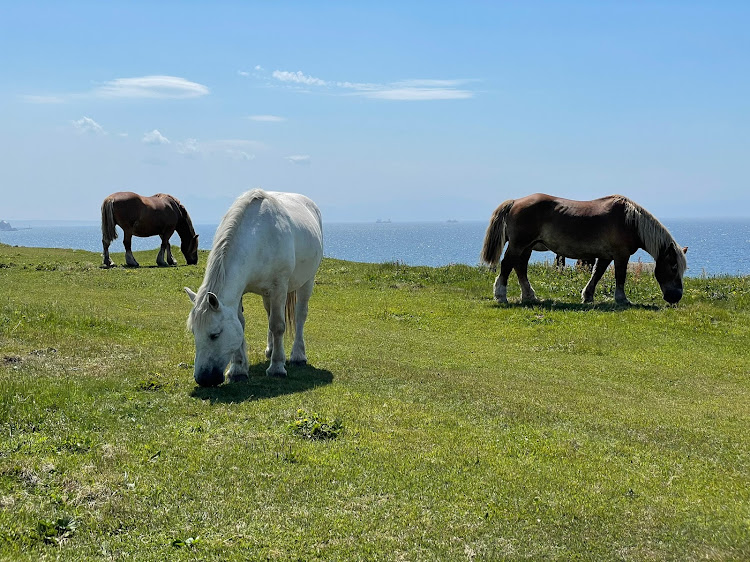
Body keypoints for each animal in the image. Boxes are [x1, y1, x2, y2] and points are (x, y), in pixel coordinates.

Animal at [185, 188, 324, 384]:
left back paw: (298, 356)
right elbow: (242, 324)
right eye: (193, 332)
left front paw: (277, 367)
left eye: (215, 334)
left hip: (307, 281)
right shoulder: (240, 293)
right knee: (269, 314)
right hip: (268, 294)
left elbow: (278, 325)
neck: (259, 236)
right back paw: (271, 350)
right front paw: (238, 369)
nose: (203, 379)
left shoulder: (280, 287)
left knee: (300, 315)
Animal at [484, 194, 692, 306]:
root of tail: (515, 201)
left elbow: (597, 274)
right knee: (507, 265)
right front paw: (622, 299)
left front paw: (588, 296)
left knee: (520, 268)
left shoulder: (606, 256)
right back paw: (501, 295)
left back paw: (529, 296)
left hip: (526, 247)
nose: (676, 297)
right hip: (519, 245)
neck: (630, 221)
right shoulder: (621, 255)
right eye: (674, 267)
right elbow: (620, 276)